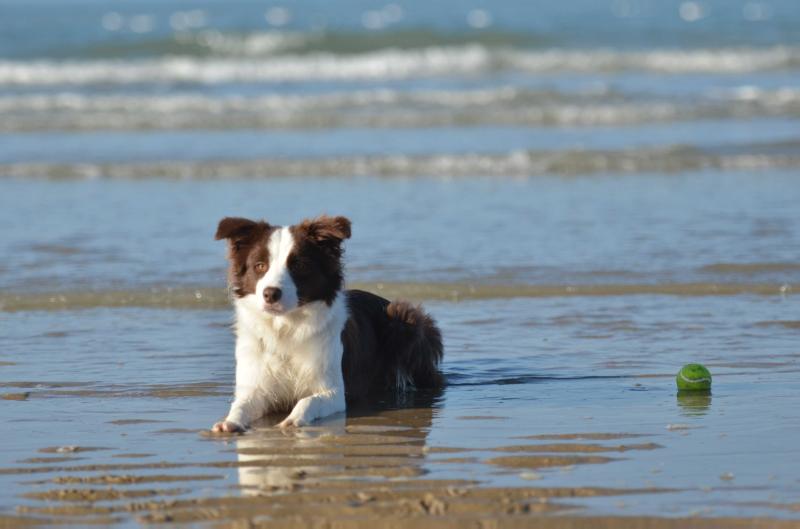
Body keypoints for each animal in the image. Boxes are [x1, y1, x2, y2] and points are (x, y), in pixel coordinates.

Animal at [211, 217, 444, 432]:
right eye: (260, 266)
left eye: (299, 265)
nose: (270, 294)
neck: (285, 327)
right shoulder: (256, 386)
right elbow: (240, 404)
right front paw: (229, 422)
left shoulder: (333, 391)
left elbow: (308, 400)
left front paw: (293, 420)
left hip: (405, 320)